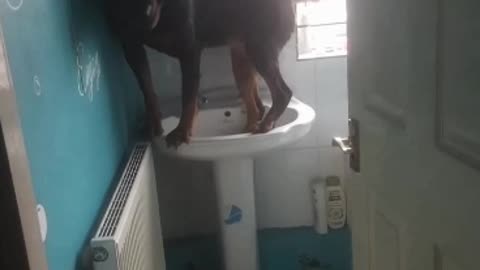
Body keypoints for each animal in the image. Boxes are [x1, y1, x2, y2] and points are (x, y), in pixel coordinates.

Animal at [108, 0, 294, 148]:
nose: (144, 17)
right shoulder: (130, 45)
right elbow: (147, 88)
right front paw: (154, 122)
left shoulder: (189, 49)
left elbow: (188, 97)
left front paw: (182, 131)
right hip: (242, 57)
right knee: (256, 105)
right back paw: (250, 127)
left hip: (260, 47)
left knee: (282, 92)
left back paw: (266, 124)